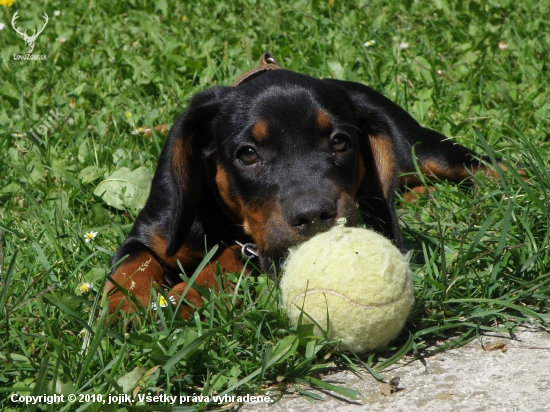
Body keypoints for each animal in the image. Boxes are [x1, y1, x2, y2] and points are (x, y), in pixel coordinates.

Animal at [104, 53, 496, 318]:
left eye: (339, 142)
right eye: (248, 154)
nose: (314, 216)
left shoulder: (259, 249)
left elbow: (229, 256)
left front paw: (189, 294)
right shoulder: (152, 232)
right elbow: (132, 267)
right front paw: (125, 307)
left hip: (419, 148)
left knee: (480, 163)